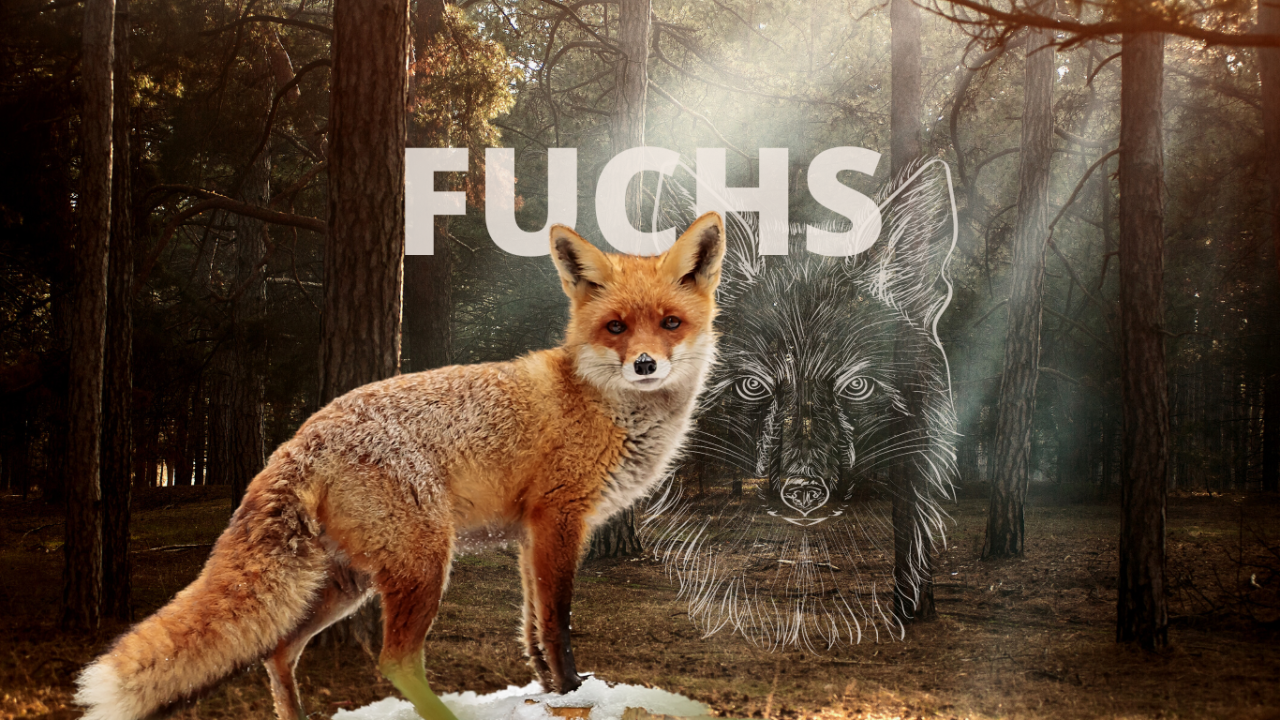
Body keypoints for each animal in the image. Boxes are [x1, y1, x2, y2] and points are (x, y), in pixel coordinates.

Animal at [75, 212, 726, 720]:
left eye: (670, 323)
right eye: (616, 327)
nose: (645, 365)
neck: (598, 402)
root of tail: (300, 437)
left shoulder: (530, 536)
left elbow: (531, 631)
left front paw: (549, 690)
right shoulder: (559, 520)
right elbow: (557, 625)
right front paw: (568, 688)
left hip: (345, 585)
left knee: (278, 652)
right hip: (423, 563)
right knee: (394, 661)